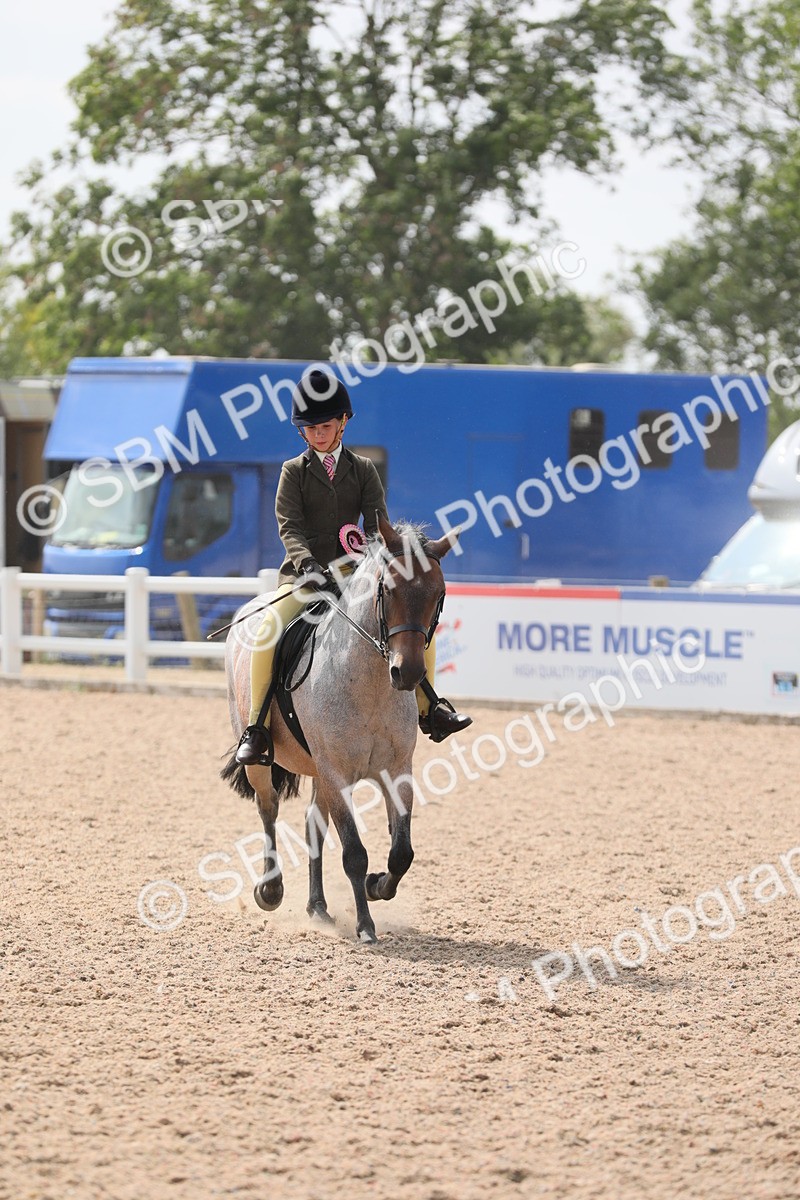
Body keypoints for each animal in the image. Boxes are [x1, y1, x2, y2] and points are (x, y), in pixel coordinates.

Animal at [221, 515, 460, 943]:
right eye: (387, 589)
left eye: (439, 594)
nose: (408, 673)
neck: (370, 685)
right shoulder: (337, 774)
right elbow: (354, 853)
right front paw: (365, 925)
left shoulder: (396, 771)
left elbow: (402, 852)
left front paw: (377, 886)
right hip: (264, 760)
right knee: (268, 809)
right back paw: (271, 889)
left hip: (320, 772)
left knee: (313, 825)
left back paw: (318, 907)